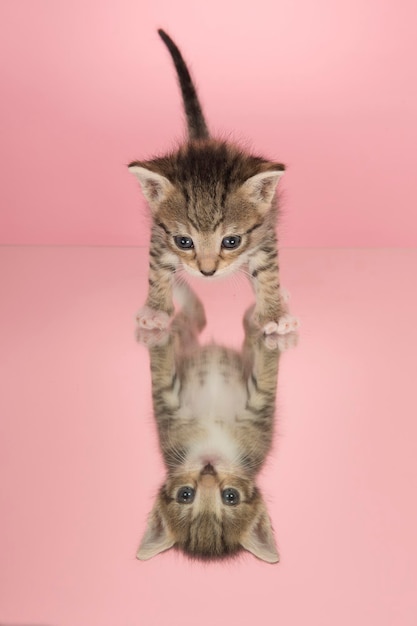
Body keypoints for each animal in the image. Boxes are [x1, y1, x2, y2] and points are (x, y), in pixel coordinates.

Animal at [128, 29, 298, 334]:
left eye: (231, 241)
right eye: (184, 241)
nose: (207, 272)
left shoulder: (265, 232)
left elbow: (267, 271)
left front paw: (274, 312)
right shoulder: (159, 235)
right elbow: (157, 269)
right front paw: (156, 308)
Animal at [136, 282, 296, 560]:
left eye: (230, 496)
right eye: (185, 494)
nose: (208, 471)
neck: (212, 444)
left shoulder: (258, 410)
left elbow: (266, 373)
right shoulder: (168, 405)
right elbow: (162, 369)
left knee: (227, 325)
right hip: (185, 344)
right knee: (191, 322)